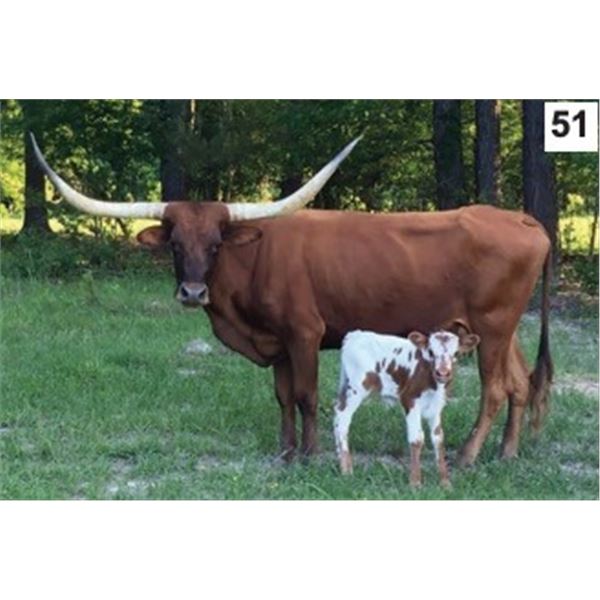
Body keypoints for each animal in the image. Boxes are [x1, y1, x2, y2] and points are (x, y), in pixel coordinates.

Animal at [31, 133, 553, 467]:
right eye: (176, 244)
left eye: (216, 243)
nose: (193, 292)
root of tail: (522, 219)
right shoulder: (276, 341)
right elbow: (282, 396)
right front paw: (284, 452)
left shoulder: (304, 334)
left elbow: (306, 395)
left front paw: (311, 454)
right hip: (496, 329)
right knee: (520, 383)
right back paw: (507, 453)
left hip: (493, 328)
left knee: (495, 389)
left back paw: (467, 456)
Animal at [334, 329, 480, 487]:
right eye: (431, 352)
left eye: (456, 353)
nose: (442, 373)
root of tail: (354, 334)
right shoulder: (409, 400)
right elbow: (417, 439)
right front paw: (415, 482)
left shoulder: (436, 407)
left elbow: (438, 438)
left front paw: (445, 482)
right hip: (356, 389)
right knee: (342, 420)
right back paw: (346, 470)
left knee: (336, 413)